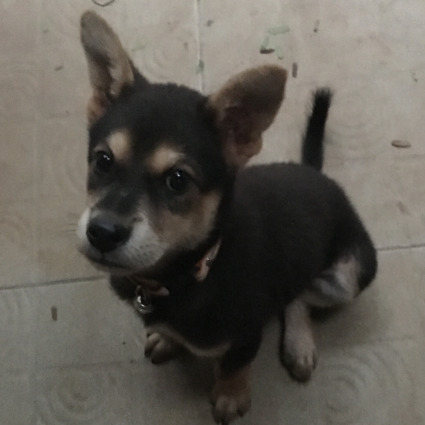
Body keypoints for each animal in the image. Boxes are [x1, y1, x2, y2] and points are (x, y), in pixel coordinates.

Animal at [77, 11, 377, 424]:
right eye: (103, 161)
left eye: (177, 179)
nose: (102, 233)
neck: (194, 268)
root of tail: (316, 172)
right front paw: (167, 338)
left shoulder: (246, 334)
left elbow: (235, 365)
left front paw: (230, 396)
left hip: (349, 275)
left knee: (300, 295)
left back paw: (298, 343)